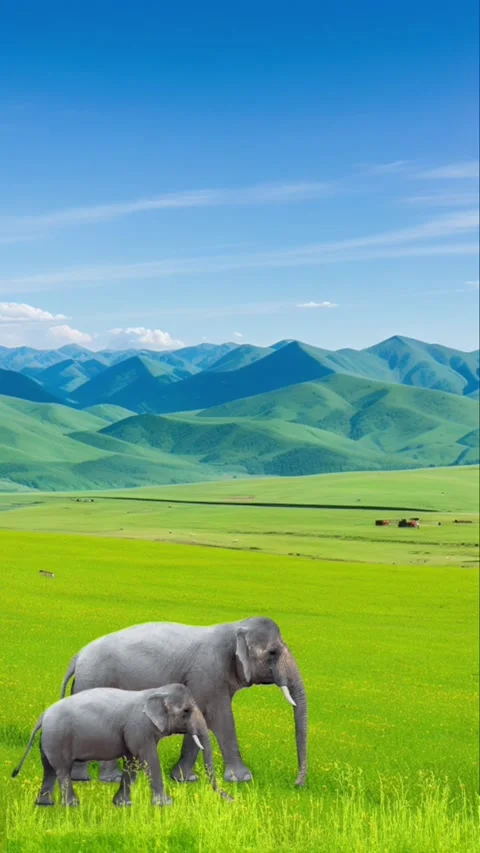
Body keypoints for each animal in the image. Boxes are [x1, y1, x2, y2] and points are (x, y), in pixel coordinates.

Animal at [12, 683, 231, 807]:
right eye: (186, 711)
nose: (231, 799)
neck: (157, 692)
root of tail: (43, 716)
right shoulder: (139, 727)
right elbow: (148, 759)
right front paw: (166, 804)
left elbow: (133, 762)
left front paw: (123, 804)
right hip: (58, 737)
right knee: (62, 770)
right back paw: (72, 806)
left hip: (48, 740)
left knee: (49, 769)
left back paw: (44, 805)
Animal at [60, 617, 307, 787]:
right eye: (273, 652)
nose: (297, 784)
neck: (236, 626)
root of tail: (77, 657)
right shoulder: (208, 672)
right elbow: (221, 718)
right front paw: (243, 779)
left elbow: (200, 719)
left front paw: (184, 779)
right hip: (94, 679)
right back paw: (102, 779)